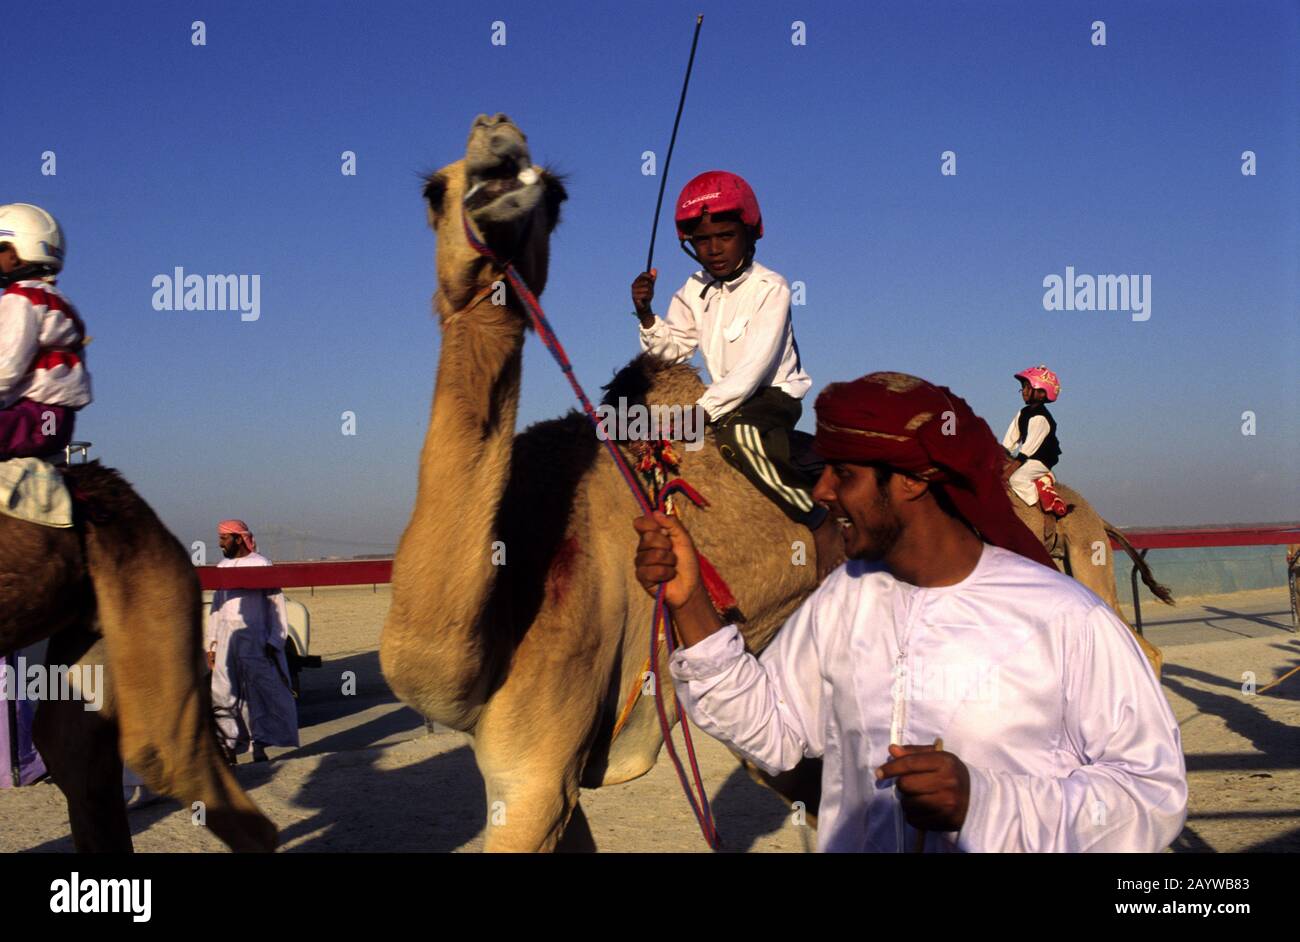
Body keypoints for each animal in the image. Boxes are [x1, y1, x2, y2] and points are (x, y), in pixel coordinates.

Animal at [381, 113, 1170, 851]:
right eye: (432, 190)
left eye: (556, 191)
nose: (499, 149)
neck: (519, 570)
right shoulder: (539, 768)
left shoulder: (538, 765)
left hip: (1072, 563)